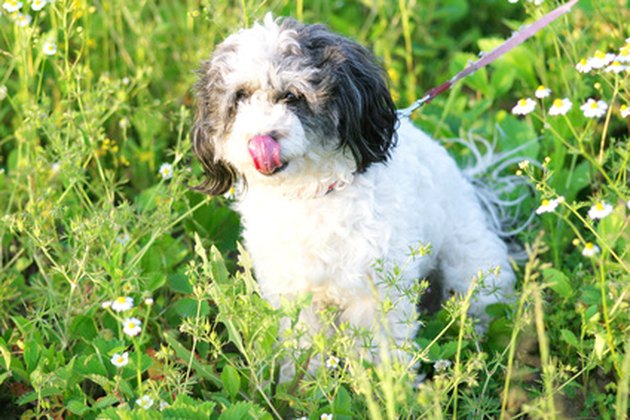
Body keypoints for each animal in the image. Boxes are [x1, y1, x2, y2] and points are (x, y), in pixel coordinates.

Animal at [194, 14, 520, 378]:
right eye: (239, 97)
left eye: (292, 96)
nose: (260, 139)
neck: (314, 192)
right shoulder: (293, 290)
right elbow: (303, 343)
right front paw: (303, 383)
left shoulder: (378, 291)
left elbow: (382, 347)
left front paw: (390, 385)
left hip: (473, 267)